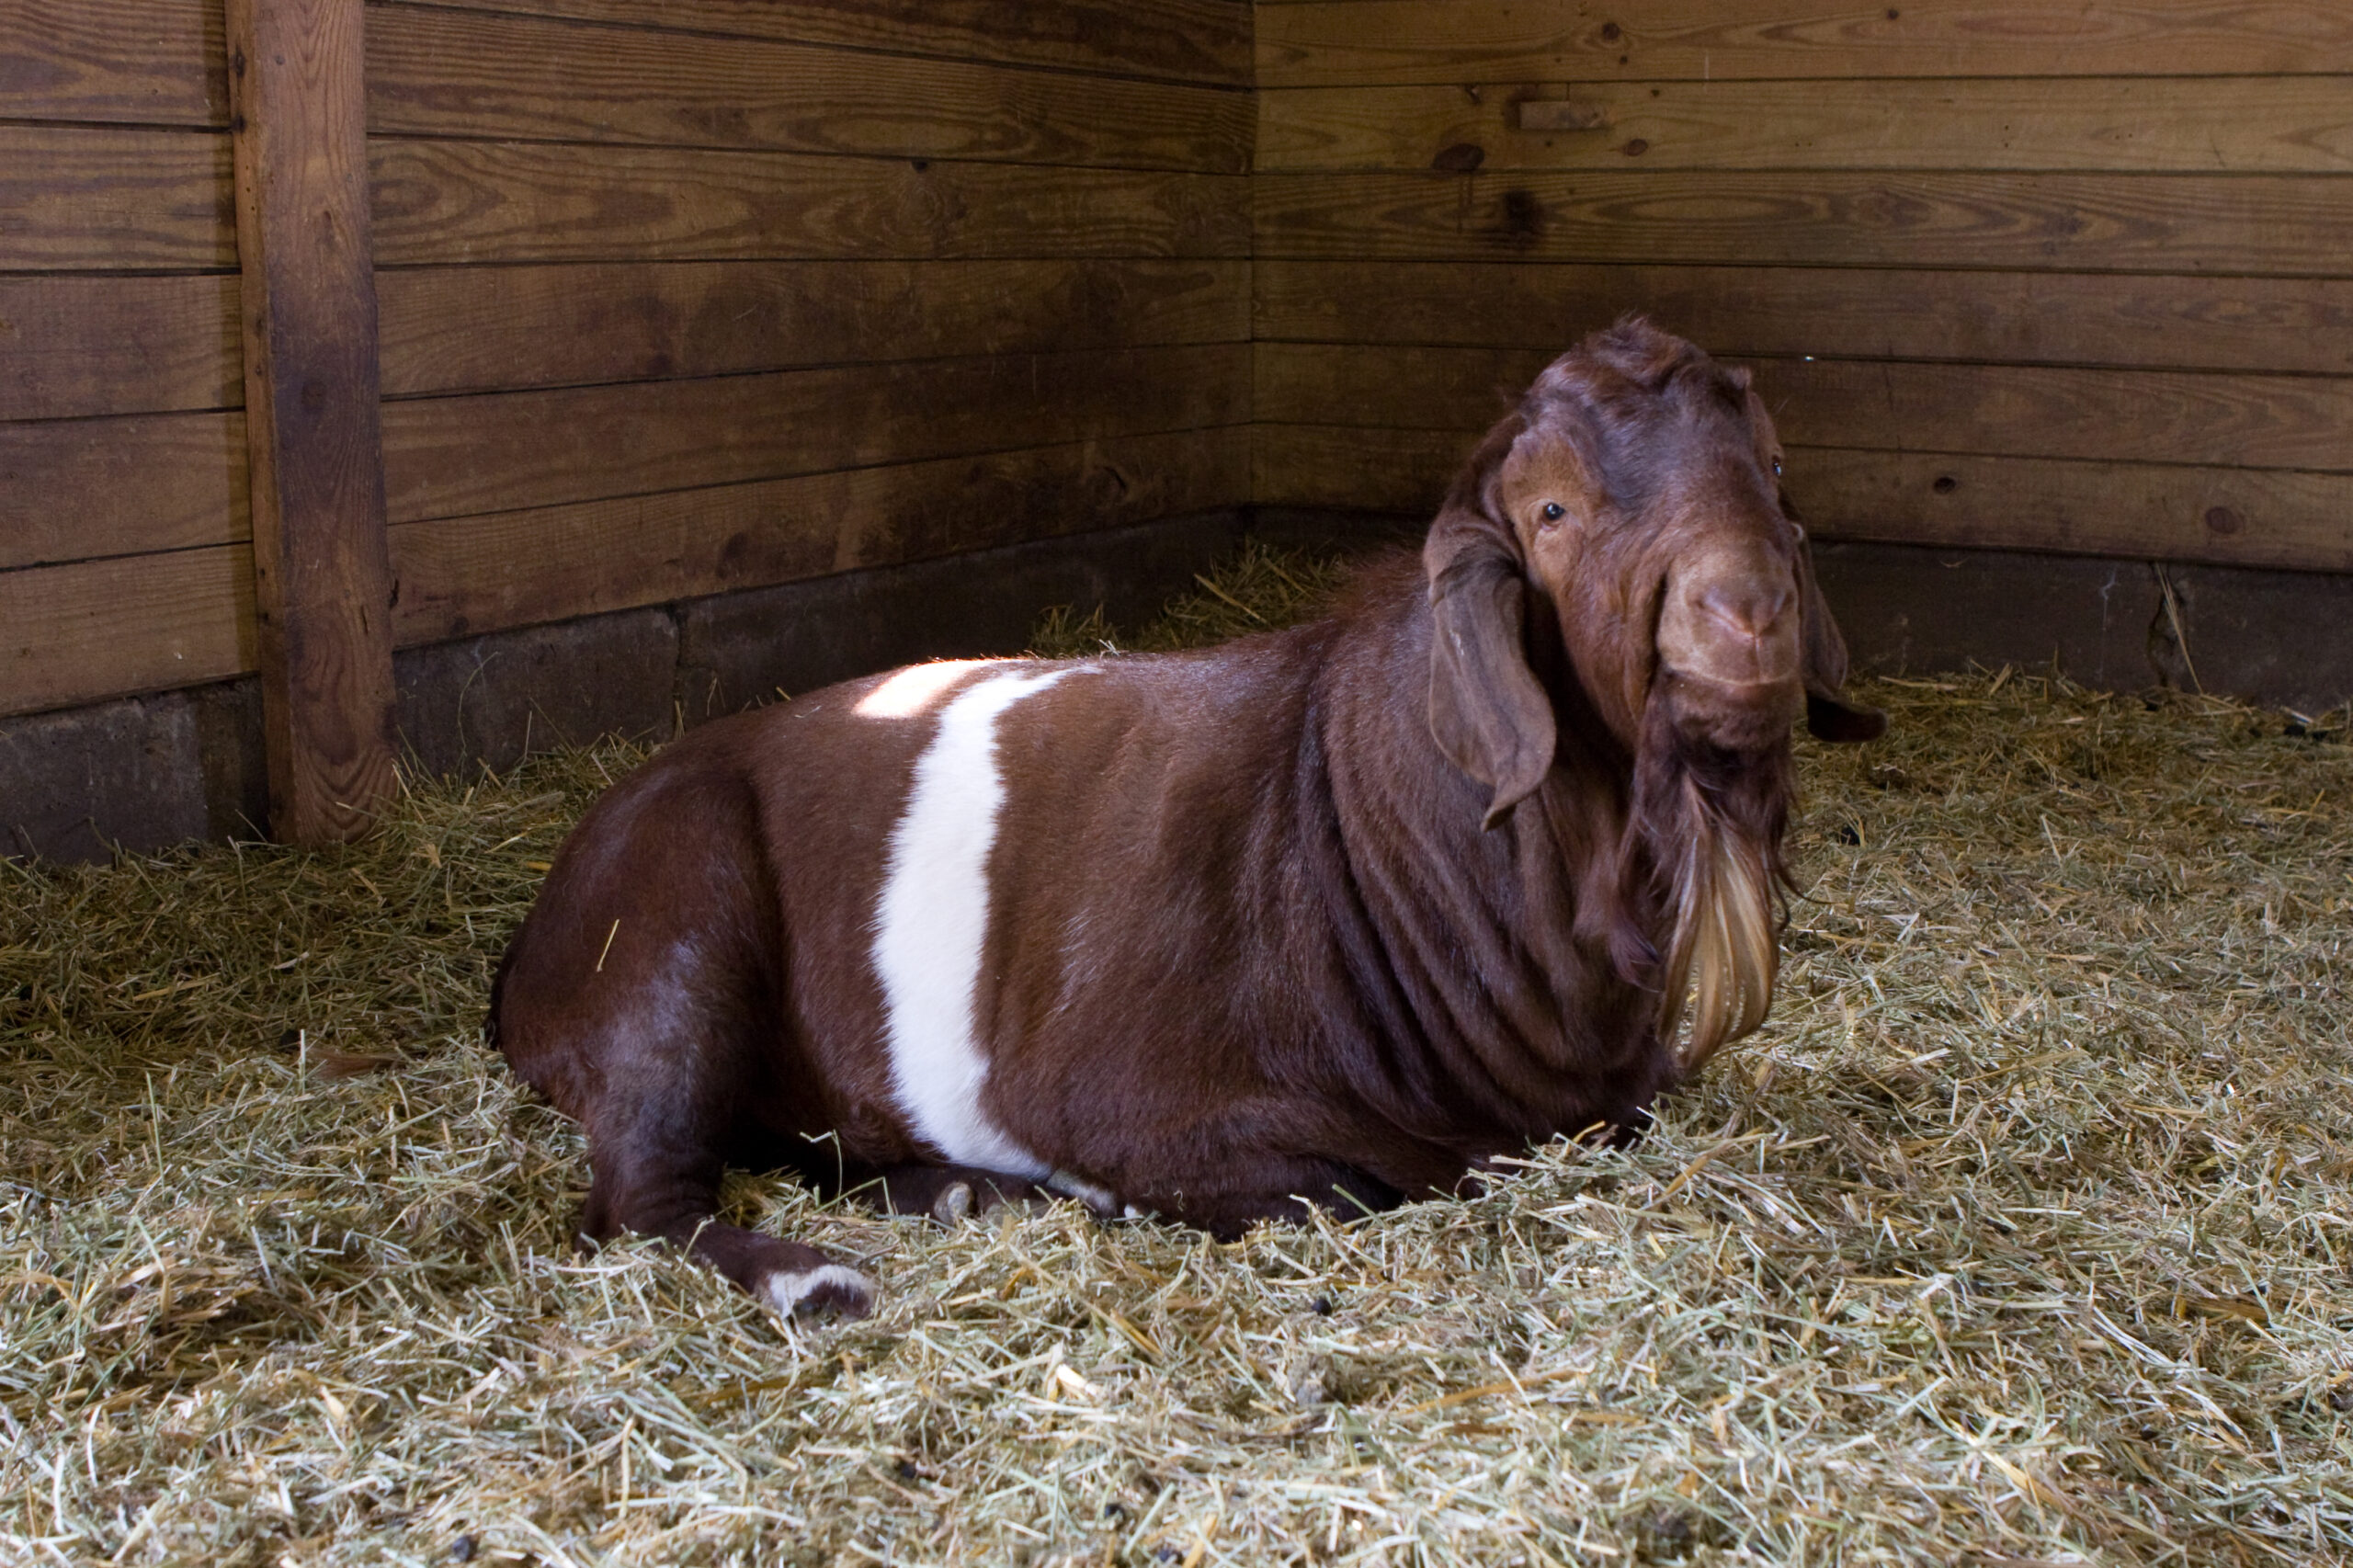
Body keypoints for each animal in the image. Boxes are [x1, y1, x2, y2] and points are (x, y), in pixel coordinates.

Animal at [489, 319, 1885, 1319]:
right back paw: (819, 1274)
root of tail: (530, 947)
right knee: (638, 1191)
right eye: (1552, 511)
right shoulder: (1150, 1111)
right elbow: (1344, 1190)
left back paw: (955, 1194)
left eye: (1771, 466)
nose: (1745, 608)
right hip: (673, 923)